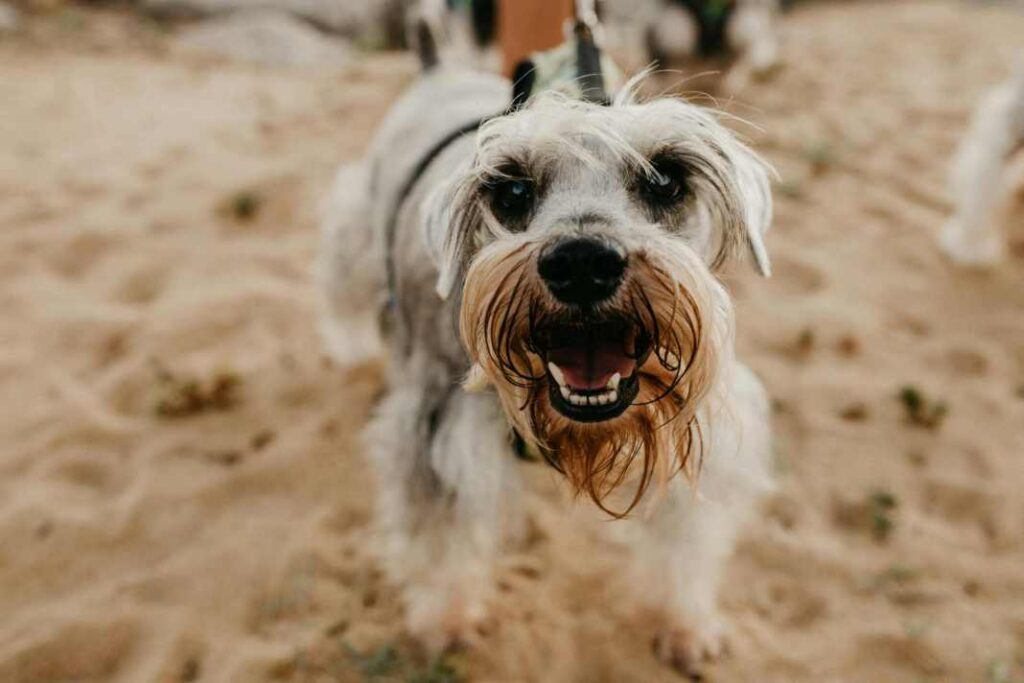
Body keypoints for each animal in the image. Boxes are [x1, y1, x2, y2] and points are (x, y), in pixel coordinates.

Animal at [315, 25, 770, 671]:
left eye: (665, 179)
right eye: (510, 189)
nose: (582, 261)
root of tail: (435, 68)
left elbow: (686, 544)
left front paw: (684, 623)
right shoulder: (432, 439)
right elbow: (438, 545)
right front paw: (447, 623)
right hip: (358, 228)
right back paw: (351, 348)